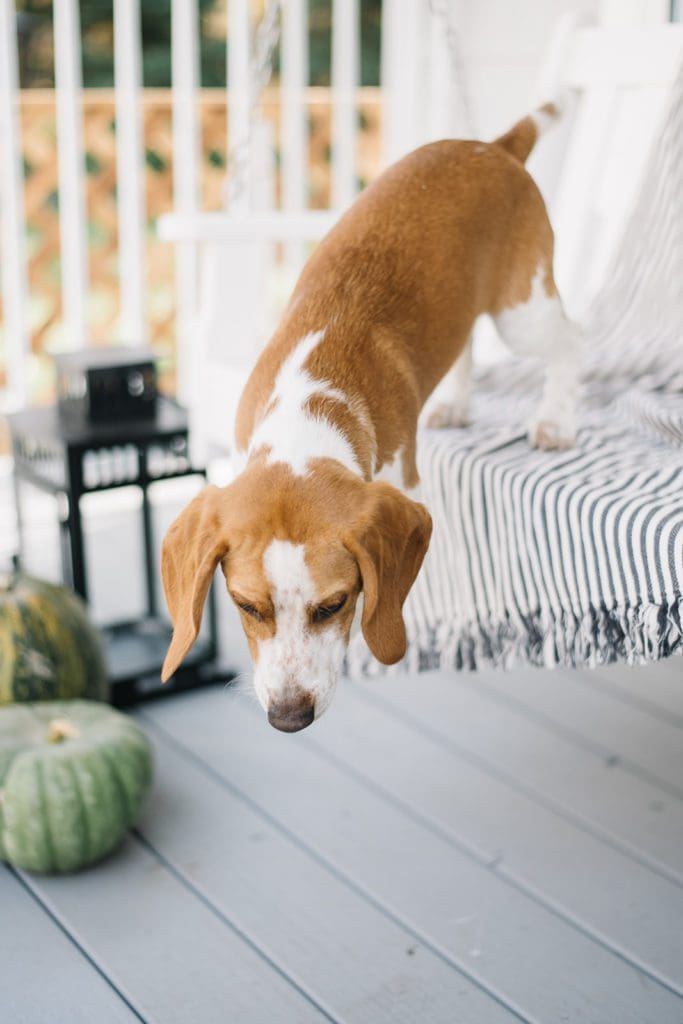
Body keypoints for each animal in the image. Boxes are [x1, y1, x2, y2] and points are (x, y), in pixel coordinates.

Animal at [160, 101, 581, 729]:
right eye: (246, 606)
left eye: (333, 605)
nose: (288, 718)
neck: (308, 407)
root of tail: (494, 146)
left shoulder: (402, 483)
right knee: (467, 346)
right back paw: (456, 402)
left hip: (522, 310)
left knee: (574, 339)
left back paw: (556, 420)